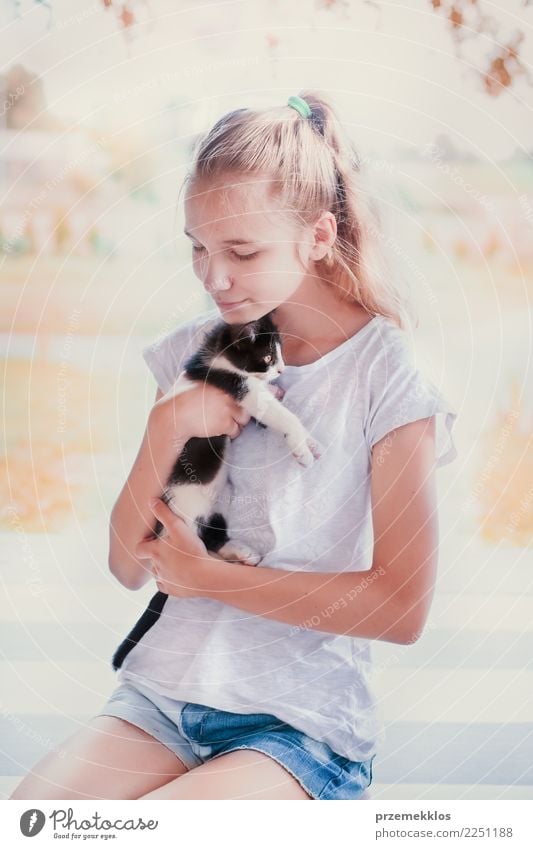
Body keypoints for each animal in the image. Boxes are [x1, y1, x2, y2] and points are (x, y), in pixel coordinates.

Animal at [111, 312, 320, 668]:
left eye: (280, 353)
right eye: (267, 357)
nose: (281, 371)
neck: (220, 358)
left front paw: (281, 398)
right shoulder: (236, 387)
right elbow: (277, 414)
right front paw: (303, 446)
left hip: (222, 500)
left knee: (213, 535)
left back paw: (240, 552)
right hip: (187, 507)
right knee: (204, 545)